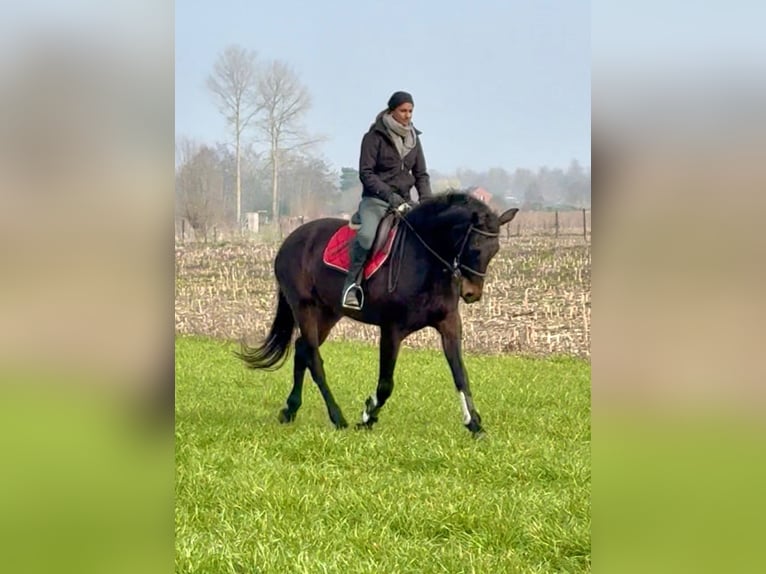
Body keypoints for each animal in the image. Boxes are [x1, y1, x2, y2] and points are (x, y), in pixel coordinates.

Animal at [236, 192, 518, 436]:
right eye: (475, 248)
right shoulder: (392, 330)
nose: (471, 293)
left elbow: (461, 375)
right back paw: (337, 417)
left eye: (494, 250)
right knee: (314, 359)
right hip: (304, 307)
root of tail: (291, 239)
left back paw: (290, 409)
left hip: (328, 313)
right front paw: (367, 415)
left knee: (302, 349)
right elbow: (385, 384)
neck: (425, 260)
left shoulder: (449, 325)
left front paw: (475, 424)